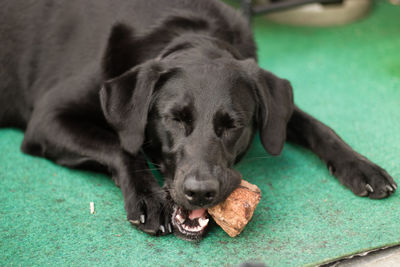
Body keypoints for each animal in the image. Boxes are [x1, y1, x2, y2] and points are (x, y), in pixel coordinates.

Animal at [0, 0, 396, 241]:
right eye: (174, 118)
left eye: (233, 125)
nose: (201, 192)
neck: (187, 32)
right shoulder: (47, 118)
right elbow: (120, 145)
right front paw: (148, 197)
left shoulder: (273, 104)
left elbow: (316, 125)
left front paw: (363, 167)